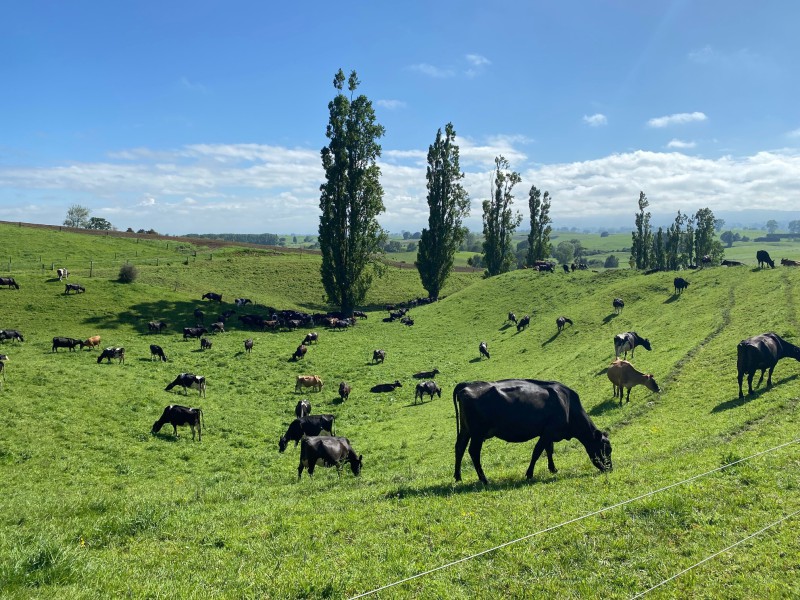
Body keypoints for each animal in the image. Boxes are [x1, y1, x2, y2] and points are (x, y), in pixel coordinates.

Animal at [454, 380, 616, 482]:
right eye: (606, 449)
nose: (610, 468)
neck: (568, 405)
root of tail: (467, 385)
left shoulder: (549, 432)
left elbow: (549, 450)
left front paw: (553, 469)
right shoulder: (549, 431)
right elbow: (537, 451)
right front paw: (529, 474)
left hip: (465, 430)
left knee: (459, 448)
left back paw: (457, 477)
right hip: (477, 433)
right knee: (473, 452)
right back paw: (484, 479)